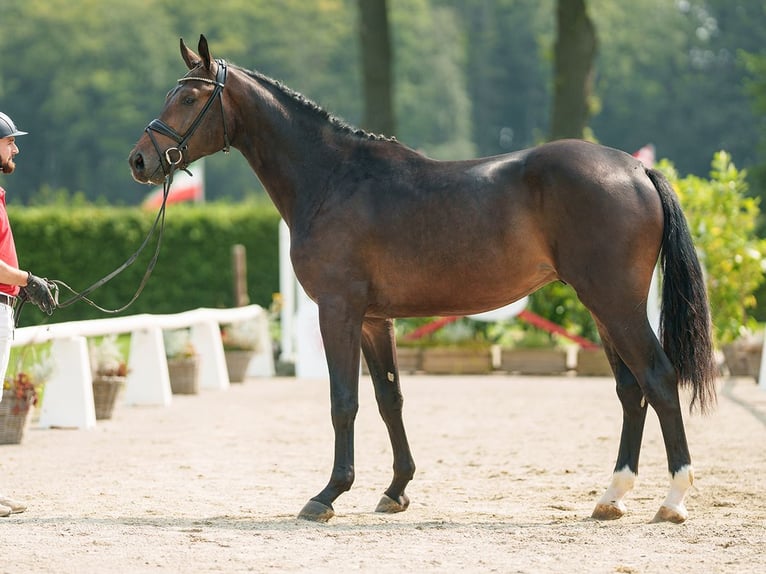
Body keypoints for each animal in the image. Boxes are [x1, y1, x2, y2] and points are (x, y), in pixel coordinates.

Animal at [129, 33, 716, 524]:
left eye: (188, 99)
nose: (140, 160)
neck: (333, 178)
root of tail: (635, 169)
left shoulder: (337, 310)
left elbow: (344, 401)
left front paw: (328, 495)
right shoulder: (374, 320)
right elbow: (390, 399)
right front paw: (396, 490)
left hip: (616, 303)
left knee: (659, 379)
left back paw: (673, 500)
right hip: (601, 308)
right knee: (630, 391)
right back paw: (611, 497)